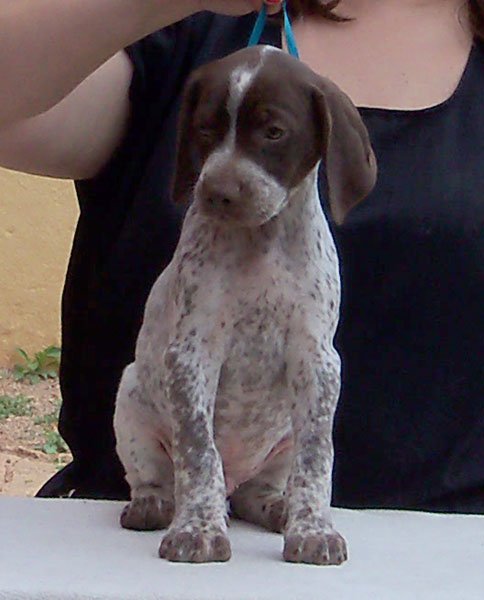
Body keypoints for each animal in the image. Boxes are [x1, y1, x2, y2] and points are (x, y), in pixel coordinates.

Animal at [114, 45, 377, 565]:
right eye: (204, 129)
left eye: (273, 132)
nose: (218, 193)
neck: (262, 242)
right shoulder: (192, 354)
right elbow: (199, 451)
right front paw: (197, 529)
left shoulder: (317, 361)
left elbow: (317, 457)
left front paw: (312, 529)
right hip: (130, 402)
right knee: (157, 475)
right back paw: (155, 504)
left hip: (280, 443)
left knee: (263, 488)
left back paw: (279, 508)